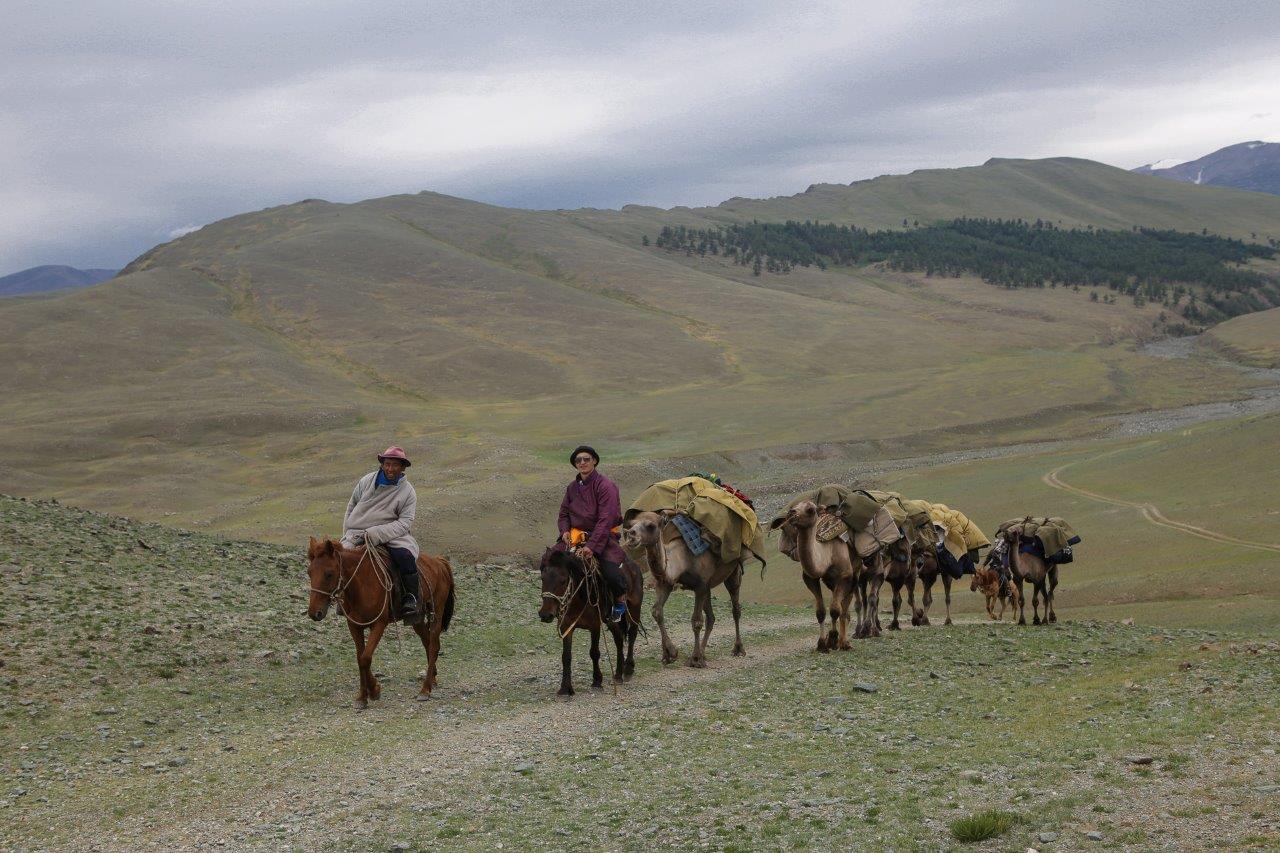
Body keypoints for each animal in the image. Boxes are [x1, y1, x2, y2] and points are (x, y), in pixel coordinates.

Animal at [304, 537, 455, 701]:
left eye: (329, 573)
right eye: (309, 573)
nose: (314, 613)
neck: (362, 585)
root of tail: (438, 561)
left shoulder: (379, 624)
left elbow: (365, 657)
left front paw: (372, 691)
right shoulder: (354, 625)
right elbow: (360, 658)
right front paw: (364, 695)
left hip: (436, 612)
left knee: (434, 645)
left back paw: (425, 689)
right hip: (417, 618)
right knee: (428, 642)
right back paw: (432, 678)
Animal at [537, 548, 640, 696]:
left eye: (563, 581)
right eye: (542, 578)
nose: (545, 614)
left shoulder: (595, 625)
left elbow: (594, 653)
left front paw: (597, 681)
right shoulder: (566, 627)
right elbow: (566, 656)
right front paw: (565, 688)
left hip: (635, 609)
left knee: (632, 635)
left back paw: (628, 670)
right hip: (611, 620)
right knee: (619, 639)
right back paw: (618, 675)